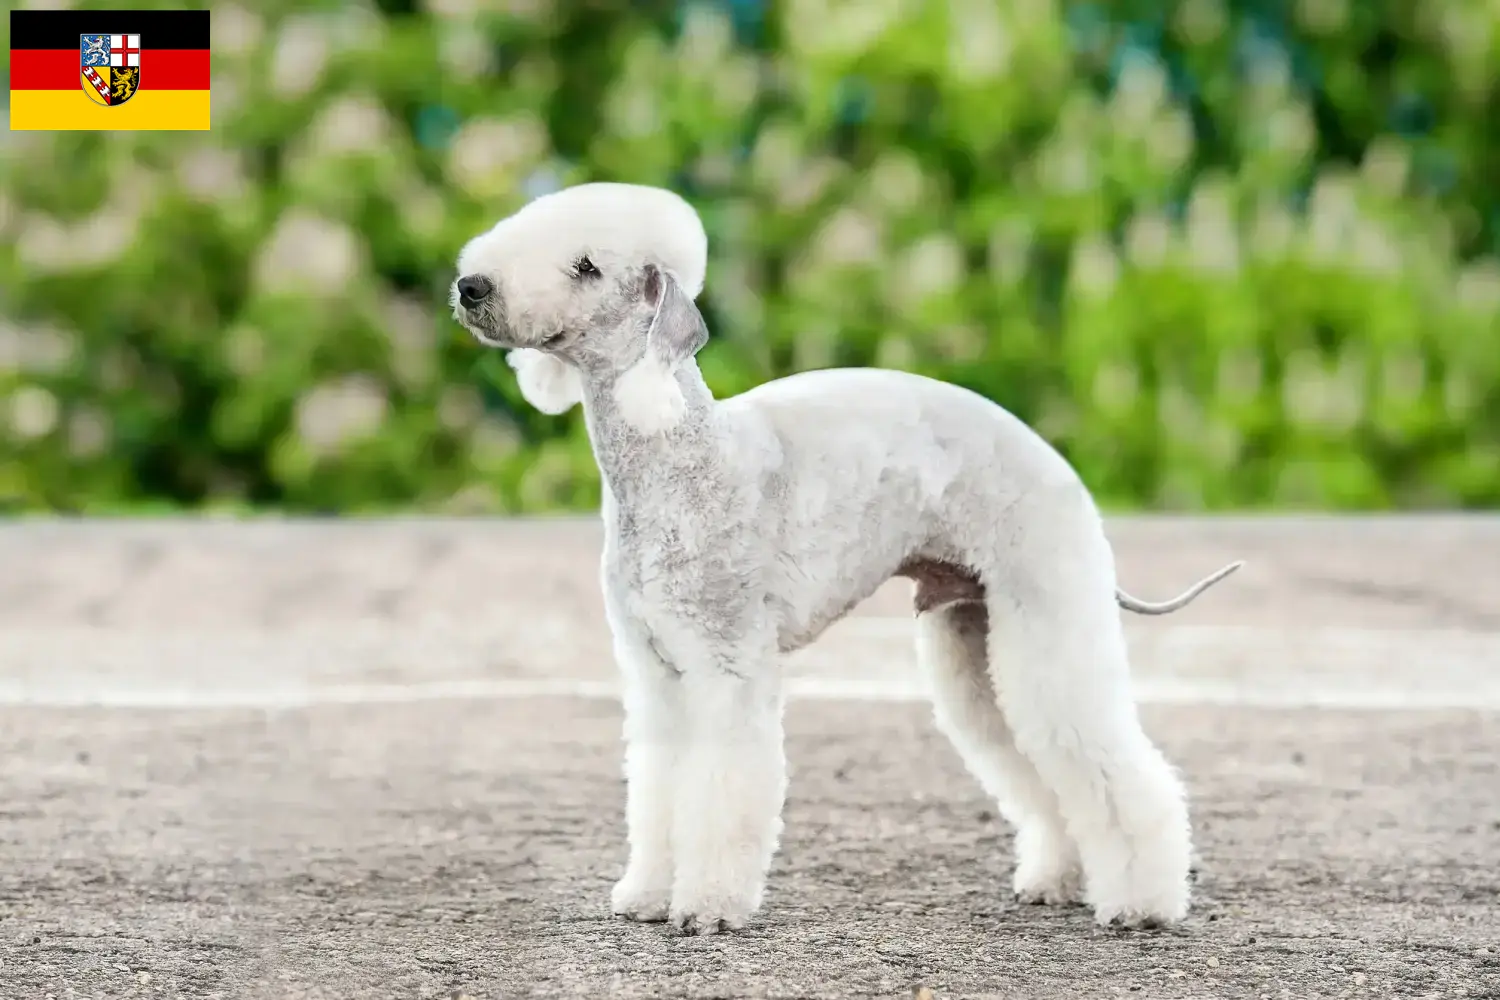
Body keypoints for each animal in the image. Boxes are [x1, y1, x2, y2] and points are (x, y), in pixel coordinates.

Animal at [453, 182, 1242, 941]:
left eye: (587, 267)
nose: (469, 286)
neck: (678, 458)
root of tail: (1056, 464)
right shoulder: (657, 674)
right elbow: (659, 790)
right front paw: (647, 895)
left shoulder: (727, 666)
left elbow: (723, 792)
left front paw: (708, 907)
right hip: (975, 637)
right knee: (1032, 763)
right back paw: (1060, 879)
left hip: (1048, 613)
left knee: (1111, 764)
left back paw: (1143, 904)